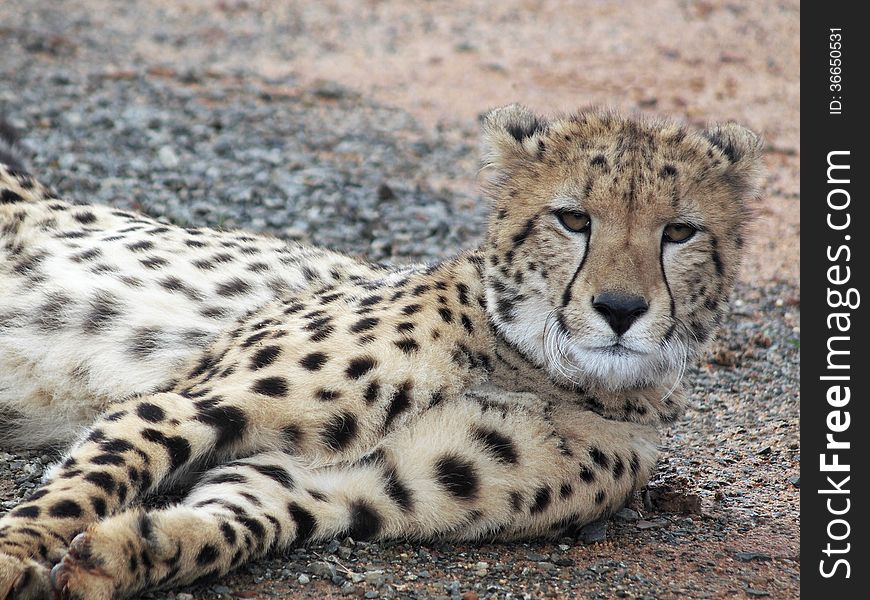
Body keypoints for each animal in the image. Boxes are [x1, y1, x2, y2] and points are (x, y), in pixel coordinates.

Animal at [0, 105, 764, 596]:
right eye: (573, 219)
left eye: (679, 232)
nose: (621, 310)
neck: (539, 367)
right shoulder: (185, 402)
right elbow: (82, 488)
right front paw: (14, 559)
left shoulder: (338, 485)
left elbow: (238, 521)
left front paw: (129, 554)